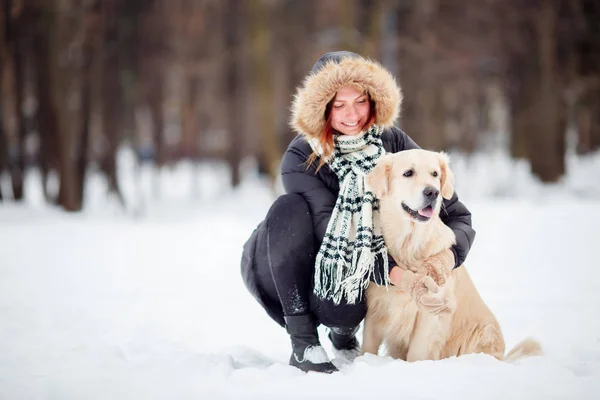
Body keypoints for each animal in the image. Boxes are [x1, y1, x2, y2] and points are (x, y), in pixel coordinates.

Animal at [364, 150, 540, 362]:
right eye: (408, 173)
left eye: (435, 174)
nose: (432, 192)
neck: (409, 243)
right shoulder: (376, 306)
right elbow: (367, 347)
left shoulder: (431, 314)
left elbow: (418, 353)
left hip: (483, 332)